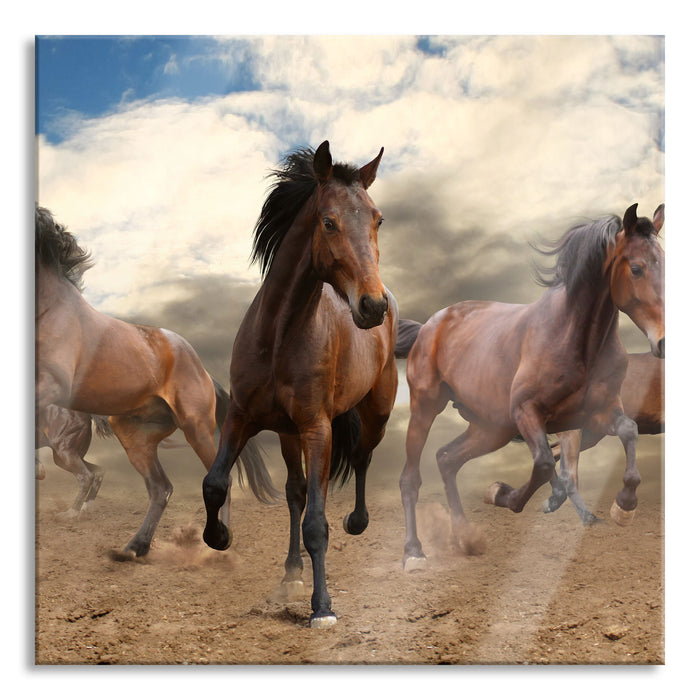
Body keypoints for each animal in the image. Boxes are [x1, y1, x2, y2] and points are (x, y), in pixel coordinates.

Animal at [35, 205, 277, 559]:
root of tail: (204, 372)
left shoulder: (54, 384)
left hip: (196, 428)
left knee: (221, 481)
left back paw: (218, 542)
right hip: (135, 435)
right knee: (160, 488)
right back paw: (135, 547)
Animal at [202, 141, 398, 628]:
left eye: (377, 220)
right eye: (328, 221)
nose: (372, 306)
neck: (279, 337)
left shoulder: (318, 428)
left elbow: (317, 523)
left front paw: (322, 607)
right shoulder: (242, 417)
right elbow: (215, 483)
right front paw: (219, 537)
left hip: (374, 413)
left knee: (361, 458)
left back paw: (356, 523)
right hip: (288, 434)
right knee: (296, 492)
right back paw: (291, 572)